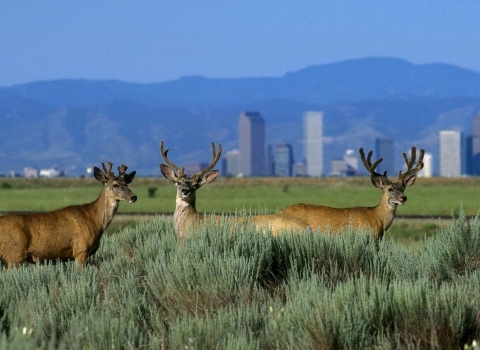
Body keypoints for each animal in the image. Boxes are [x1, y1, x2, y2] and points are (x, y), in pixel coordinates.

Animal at [0, 162, 137, 268]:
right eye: (115, 184)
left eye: (127, 184)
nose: (134, 197)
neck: (95, 220)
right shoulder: (81, 250)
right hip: (15, 254)